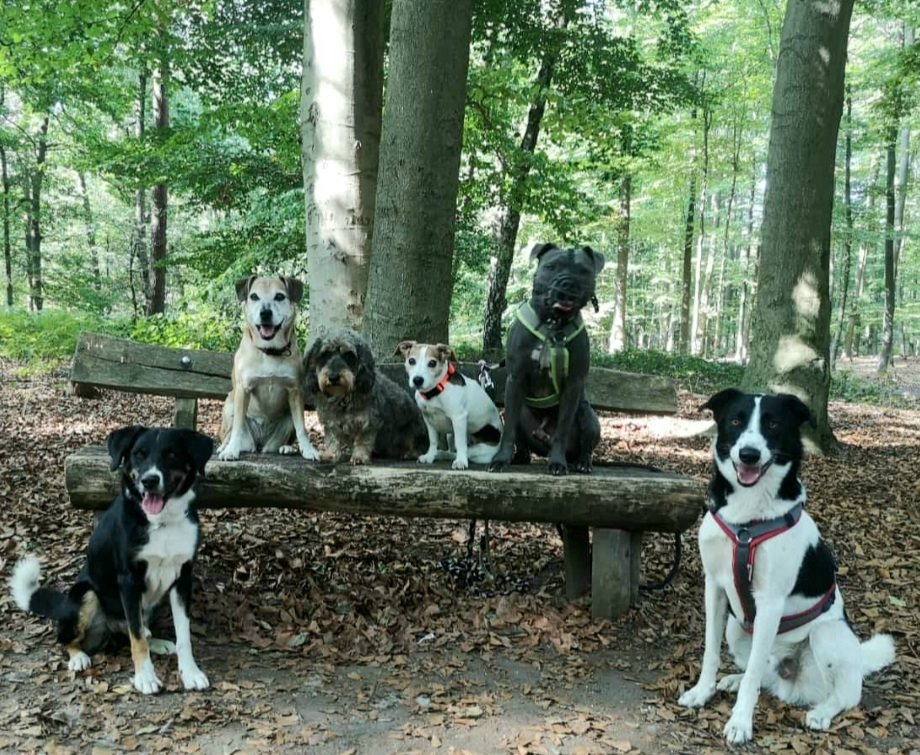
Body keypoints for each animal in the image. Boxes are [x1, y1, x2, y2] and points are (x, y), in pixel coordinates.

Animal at [9, 426, 214, 696]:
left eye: (171, 455)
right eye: (139, 454)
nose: (149, 480)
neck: (162, 522)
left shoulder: (183, 579)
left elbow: (183, 635)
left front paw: (190, 673)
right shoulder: (128, 580)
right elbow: (136, 638)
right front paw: (145, 677)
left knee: (139, 630)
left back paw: (158, 642)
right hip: (86, 595)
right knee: (68, 639)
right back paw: (78, 657)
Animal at [217, 274, 320, 460]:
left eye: (279, 296)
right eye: (254, 296)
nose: (265, 313)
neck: (269, 351)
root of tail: (259, 445)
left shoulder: (295, 391)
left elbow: (301, 427)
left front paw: (308, 450)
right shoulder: (243, 389)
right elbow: (237, 427)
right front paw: (231, 450)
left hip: (285, 421)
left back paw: (286, 447)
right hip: (230, 403)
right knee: (229, 431)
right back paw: (224, 446)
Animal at [306, 332, 428, 464]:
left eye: (348, 355)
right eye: (325, 355)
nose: (333, 377)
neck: (344, 396)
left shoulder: (368, 421)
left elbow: (363, 440)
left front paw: (359, 456)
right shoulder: (331, 421)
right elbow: (333, 439)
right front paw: (331, 454)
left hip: (414, 430)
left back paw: (410, 453)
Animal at [680, 390, 896, 744]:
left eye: (773, 424)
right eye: (736, 420)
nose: (749, 455)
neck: (747, 519)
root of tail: (790, 678)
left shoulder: (770, 602)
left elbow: (754, 674)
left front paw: (740, 722)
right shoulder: (714, 586)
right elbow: (711, 651)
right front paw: (703, 691)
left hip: (826, 635)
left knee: (846, 695)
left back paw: (822, 713)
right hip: (736, 628)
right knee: (765, 674)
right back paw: (734, 680)